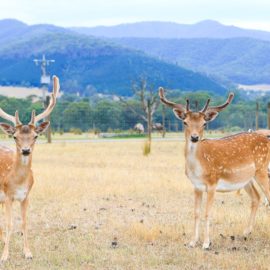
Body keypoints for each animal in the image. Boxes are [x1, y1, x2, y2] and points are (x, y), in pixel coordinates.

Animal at [0, 76, 59, 262]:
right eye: (14, 136)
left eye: (36, 136)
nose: (26, 150)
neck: (18, 182)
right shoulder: (8, 196)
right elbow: (10, 223)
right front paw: (4, 256)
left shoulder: (26, 196)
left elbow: (25, 223)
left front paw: (27, 252)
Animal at [158, 88, 270, 249]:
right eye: (185, 122)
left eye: (204, 123)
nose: (194, 137)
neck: (198, 168)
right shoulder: (196, 186)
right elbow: (196, 212)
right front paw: (192, 242)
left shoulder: (212, 183)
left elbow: (207, 213)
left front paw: (206, 243)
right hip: (246, 179)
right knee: (256, 197)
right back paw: (246, 232)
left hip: (262, 170)